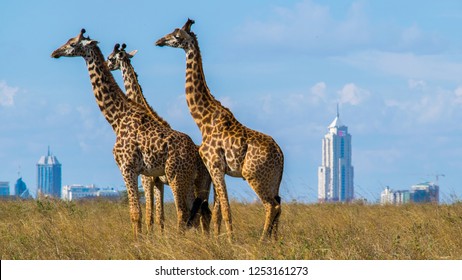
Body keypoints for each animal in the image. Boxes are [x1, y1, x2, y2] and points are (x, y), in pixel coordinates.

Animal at [51, 29, 202, 238]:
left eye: (73, 44)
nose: (55, 53)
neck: (117, 118)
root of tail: (195, 152)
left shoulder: (129, 168)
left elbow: (137, 213)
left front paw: (138, 242)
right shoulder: (148, 175)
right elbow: (151, 214)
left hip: (176, 175)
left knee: (183, 212)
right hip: (186, 177)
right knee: (196, 212)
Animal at [157, 19, 284, 241]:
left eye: (177, 36)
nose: (159, 41)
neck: (204, 121)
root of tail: (281, 155)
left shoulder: (215, 165)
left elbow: (225, 209)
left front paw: (230, 241)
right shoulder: (215, 168)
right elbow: (216, 211)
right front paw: (218, 240)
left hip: (253, 175)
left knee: (272, 206)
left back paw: (262, 241)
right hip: (273, 180)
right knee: (279, 204)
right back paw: (274, 241)